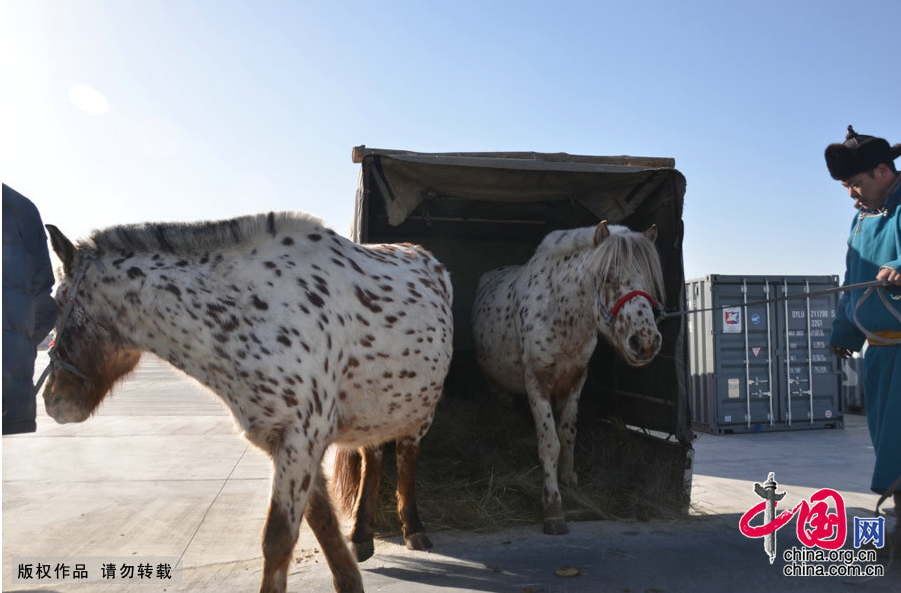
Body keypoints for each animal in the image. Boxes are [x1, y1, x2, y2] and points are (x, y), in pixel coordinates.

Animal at [41, 213, 450, 592]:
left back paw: (414, 530)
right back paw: (363, 538)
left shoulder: (300, 440)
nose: (52, 401)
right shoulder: (287, 443)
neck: (257, 312)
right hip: (378, 409)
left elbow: (278, 541)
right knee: (373, 455)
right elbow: (323, 524)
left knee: (406, 455)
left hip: (420, 411)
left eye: (57, 304)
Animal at [472, 220, 660, 536]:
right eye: (607, 277)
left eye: (648, 277)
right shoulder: (536, 382)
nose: (645, 342)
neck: (561, 314)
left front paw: (570, 481)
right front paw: (553, 508)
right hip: (497, 385)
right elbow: (550, 443)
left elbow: (568, 433)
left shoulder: (575, 380)